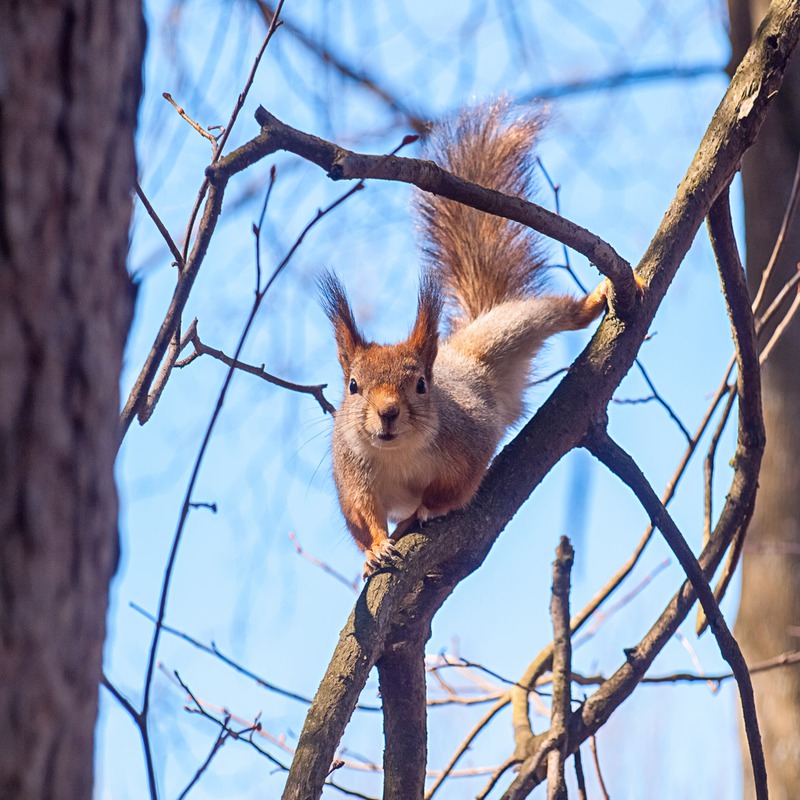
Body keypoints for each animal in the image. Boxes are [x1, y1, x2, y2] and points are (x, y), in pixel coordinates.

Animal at [318, 103, 608, 580]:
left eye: (421, 384)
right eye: (353, 387)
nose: (388, 413)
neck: (398, 454)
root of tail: (457, 349)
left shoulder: (468, 443)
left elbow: (457, 487)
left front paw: (429, 509)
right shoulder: (352, 477)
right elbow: (361, 520)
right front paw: (375, 549)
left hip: (506, 332)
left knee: (550, 313)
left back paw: (594, 300)